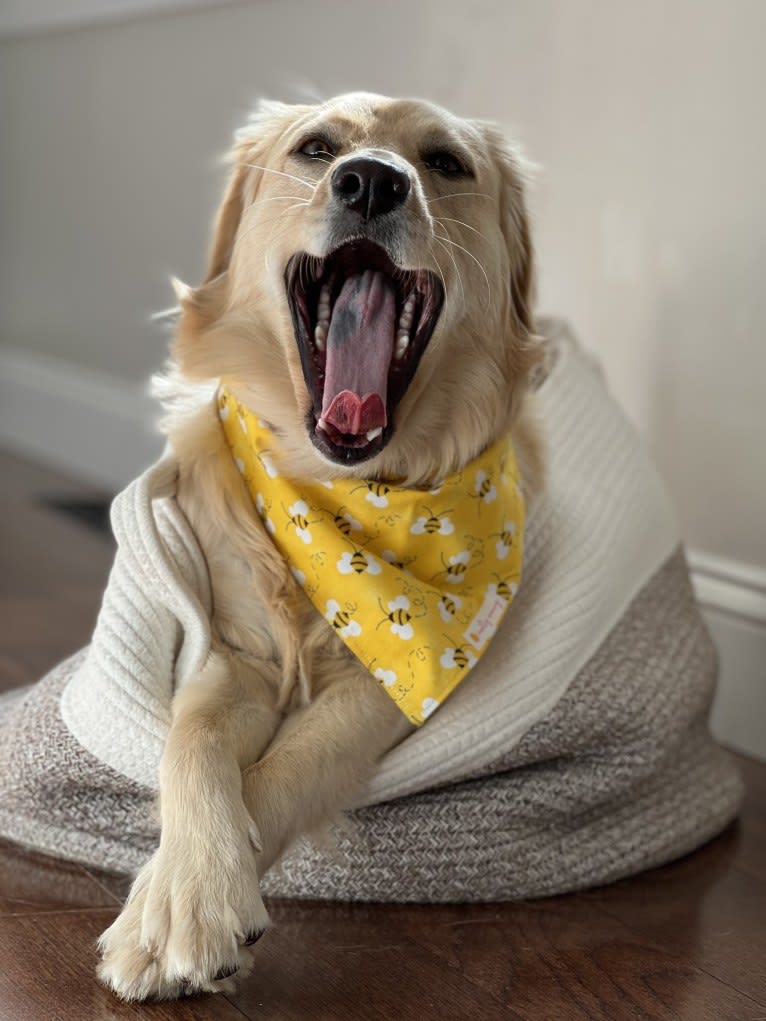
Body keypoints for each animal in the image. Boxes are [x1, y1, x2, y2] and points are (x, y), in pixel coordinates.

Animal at [97, 91, 547, 1000]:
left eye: (446, 162)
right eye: (317, 148)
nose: (371, 181)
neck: (341, 495)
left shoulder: (393, 676)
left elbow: (285, 768)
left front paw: (178, 911)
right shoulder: (236, 647)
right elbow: (192, 740)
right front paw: (185, 889)